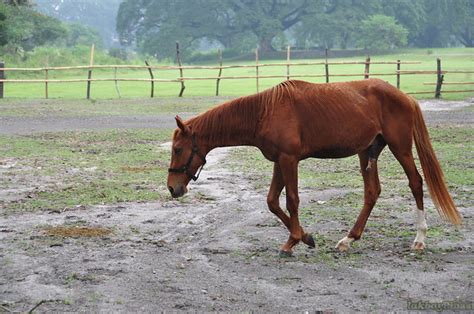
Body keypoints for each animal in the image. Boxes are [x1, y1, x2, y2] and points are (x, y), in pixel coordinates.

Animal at [166, 79, 460, 258]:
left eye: (177, 149)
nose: (172, 188)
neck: (264, 112)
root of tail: (406, 97)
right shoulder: (279, 161)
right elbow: (272, 201)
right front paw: (307, 237)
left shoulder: (289, 160)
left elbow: (292, 200)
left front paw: (292, 241)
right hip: (368, 152)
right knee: (372, 192)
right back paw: (348, 239)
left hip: (400, 148)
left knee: (416, 183)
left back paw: (419, 239)